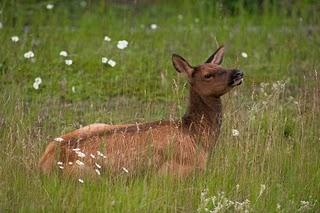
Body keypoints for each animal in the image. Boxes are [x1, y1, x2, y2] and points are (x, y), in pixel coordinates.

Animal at [39, 45, 242, 177]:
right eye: (208, 75)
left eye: (222, 66)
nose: (238, 73)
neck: (197, 137)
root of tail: (44, 163)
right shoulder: (175, 171)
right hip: (88, 175)